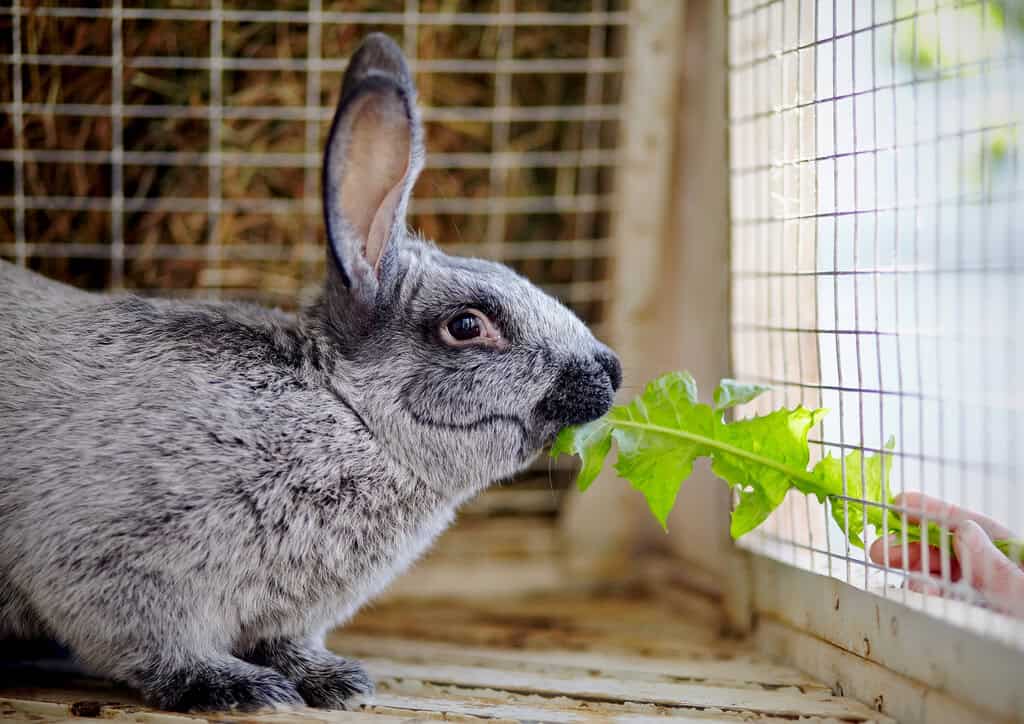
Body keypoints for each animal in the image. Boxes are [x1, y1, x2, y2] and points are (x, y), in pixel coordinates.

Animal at [0, 32, 622, 712]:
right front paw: (239, 688)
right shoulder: (117, 571)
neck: (348, 412)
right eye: (466, 325)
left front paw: (334, 680)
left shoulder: (284, 615)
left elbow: (286, 643)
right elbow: (158, 649)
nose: (610, 373)